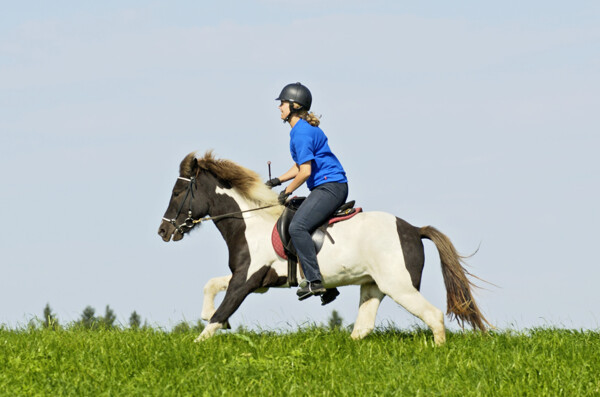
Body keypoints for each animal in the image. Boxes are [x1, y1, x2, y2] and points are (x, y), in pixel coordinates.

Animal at [158, 152, 488, 344]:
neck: (250, 222)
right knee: (363, 328)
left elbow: (218, 315)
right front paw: (210, 316)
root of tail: (413, 229)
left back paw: (438, 350)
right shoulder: (253, 279)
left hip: (400, 286)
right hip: (373, 286)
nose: (163, 231)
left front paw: (200, 344)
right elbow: (211, 286)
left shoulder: (246, 281)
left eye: (177, 192)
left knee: (434, 316)